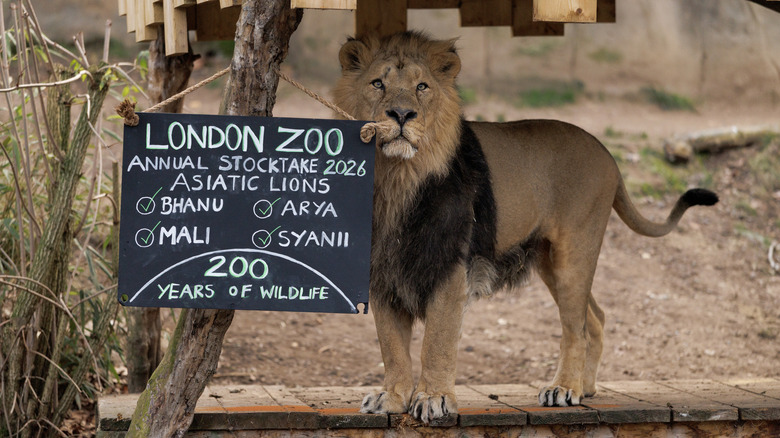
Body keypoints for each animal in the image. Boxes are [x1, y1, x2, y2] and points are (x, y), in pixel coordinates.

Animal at [333, 31, 718, 423]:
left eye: (421, 86)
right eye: (378, 84)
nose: (401, 114)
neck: (397, 179)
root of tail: (606, 151)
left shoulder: (451, 270)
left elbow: (436, 343)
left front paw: (433, 399)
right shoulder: (383, 274)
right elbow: (391, 346)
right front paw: (392, 398)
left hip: (574, 256)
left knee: (575, 328)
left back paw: (564, 389)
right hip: (549, 261)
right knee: (595, 318)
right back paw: (585, 387)